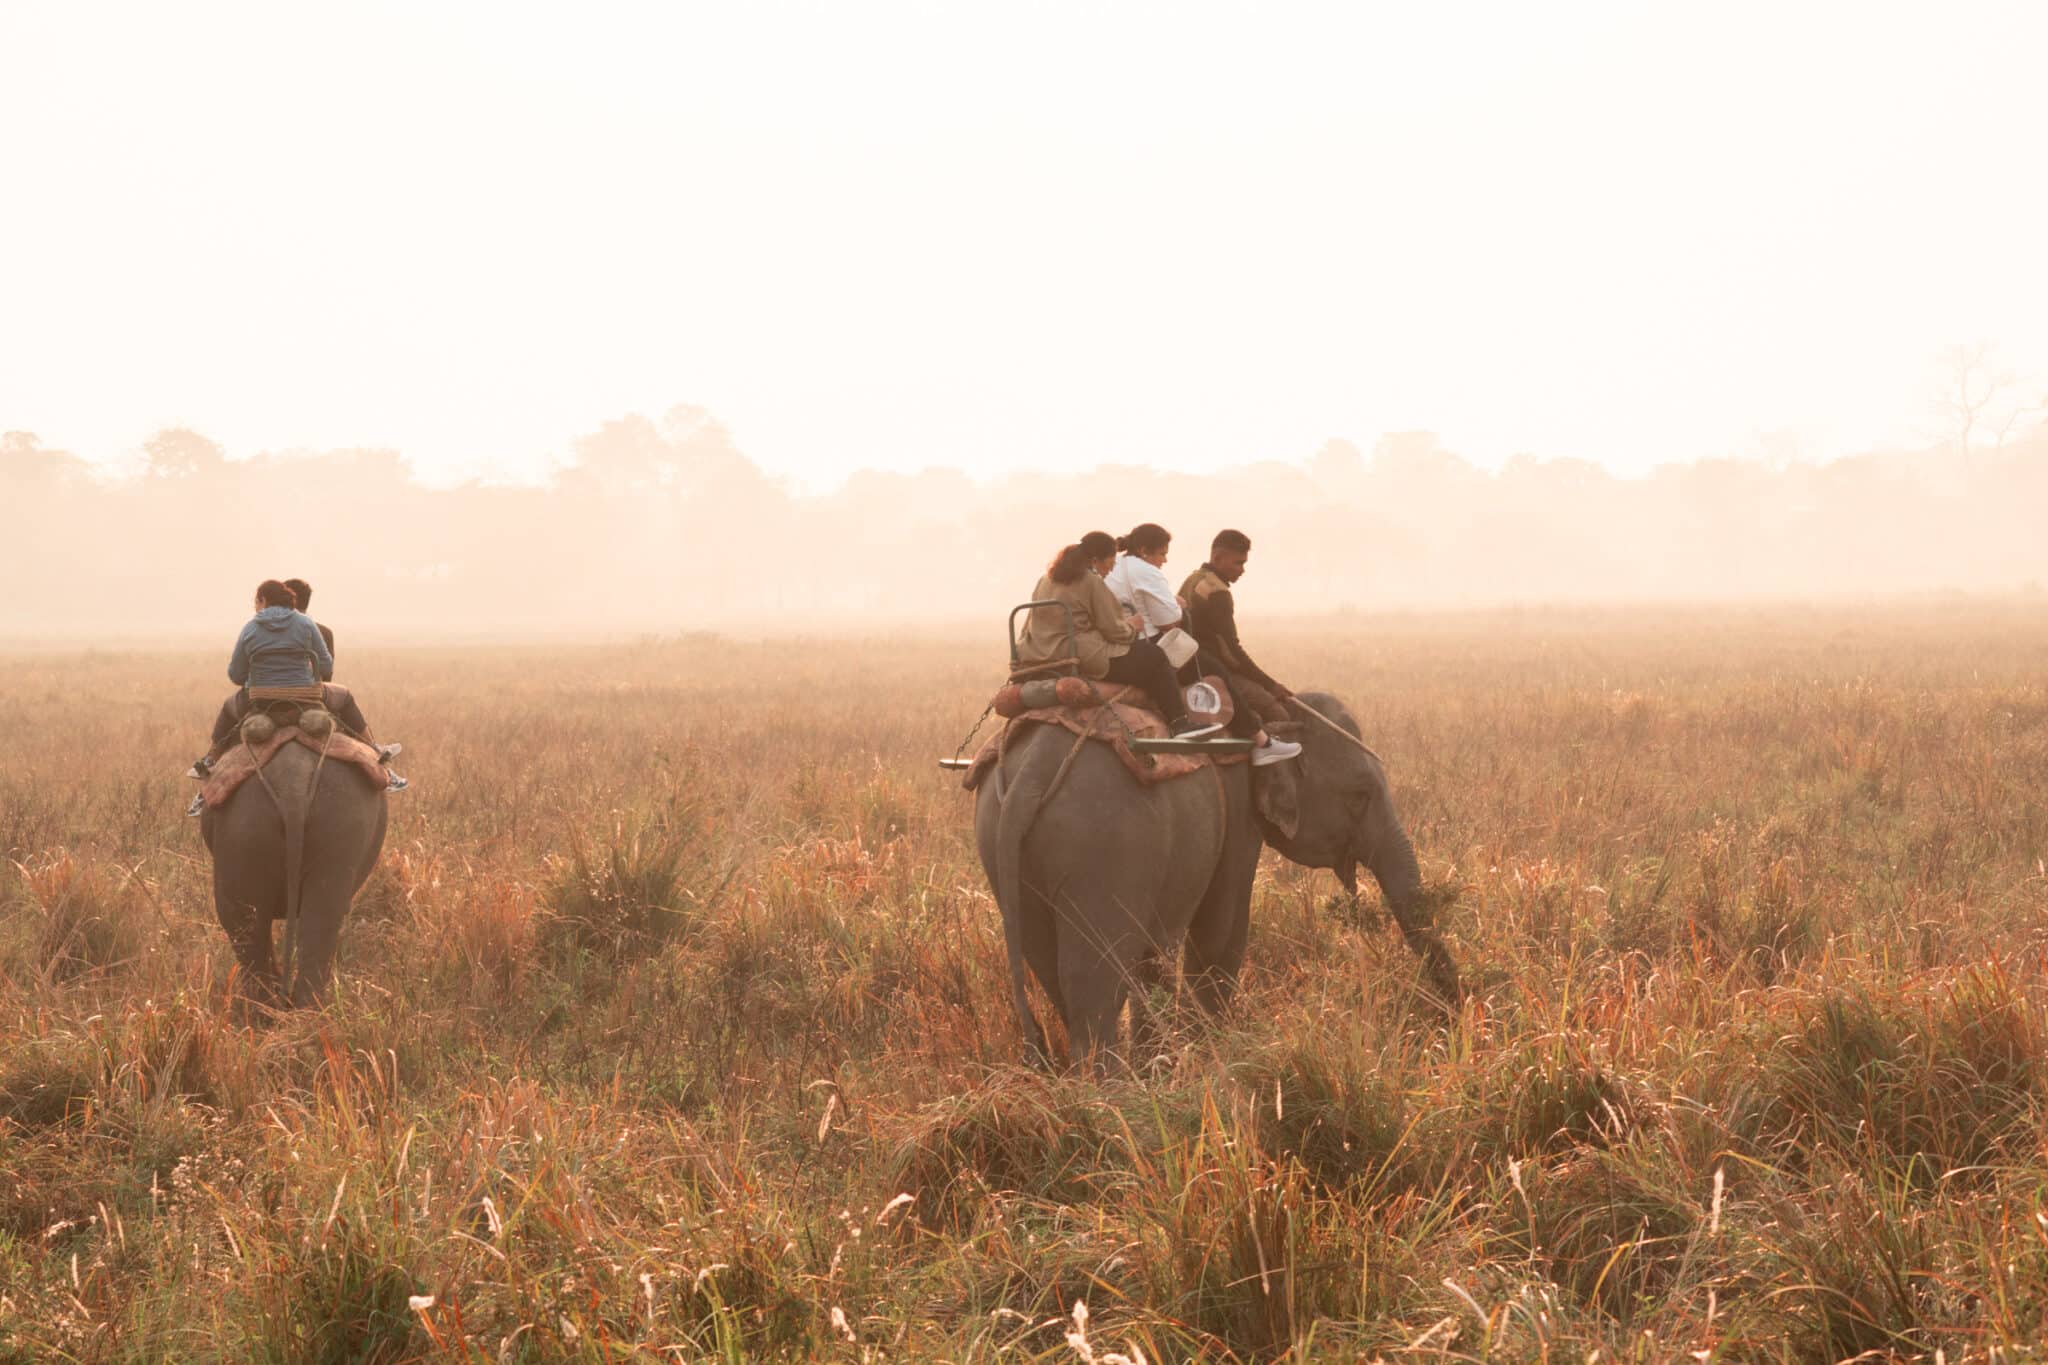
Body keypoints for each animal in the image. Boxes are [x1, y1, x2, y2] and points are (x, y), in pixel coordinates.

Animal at [974, 690, 1458, 1068]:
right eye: (1360, 796)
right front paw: (1213, 1056)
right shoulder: (1237, 806)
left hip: (1007, 850)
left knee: (1052, 969)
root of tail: (1031, 773)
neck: (1270, 712)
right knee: (1093, 981)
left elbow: (1158, 958)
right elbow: (1220, 930)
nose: (1452, 1022)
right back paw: (1112, 1100)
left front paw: (1169, 1063)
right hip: (1100, 849)